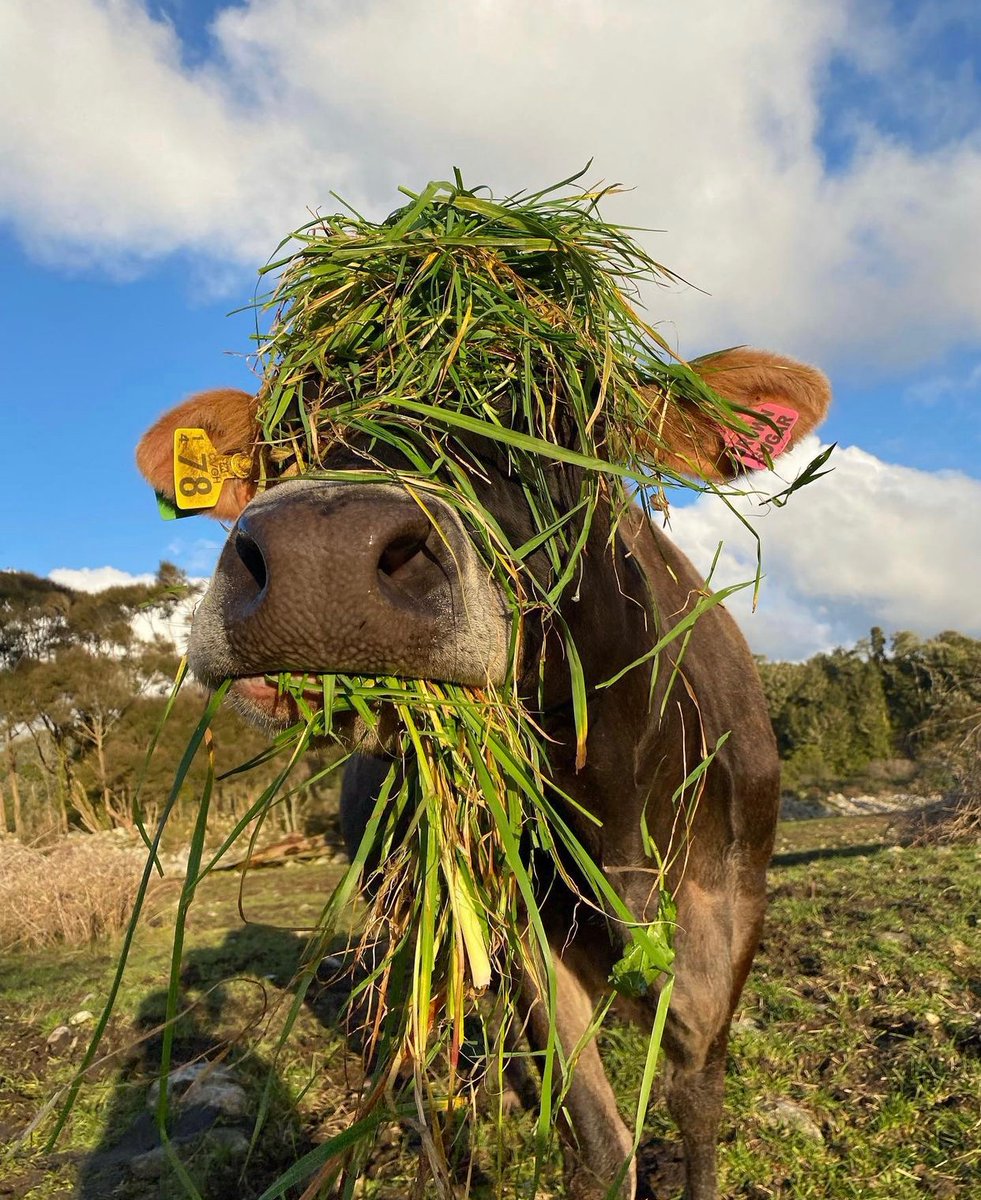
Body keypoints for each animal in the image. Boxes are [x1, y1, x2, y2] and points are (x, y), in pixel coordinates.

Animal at [136, 346, 830, 1199]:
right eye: (288, 436)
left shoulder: (728, 911)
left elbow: (695, 1100)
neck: (617, 814)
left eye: (564, 418)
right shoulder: (523, 931)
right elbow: (599, 1141)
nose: (321, 562)